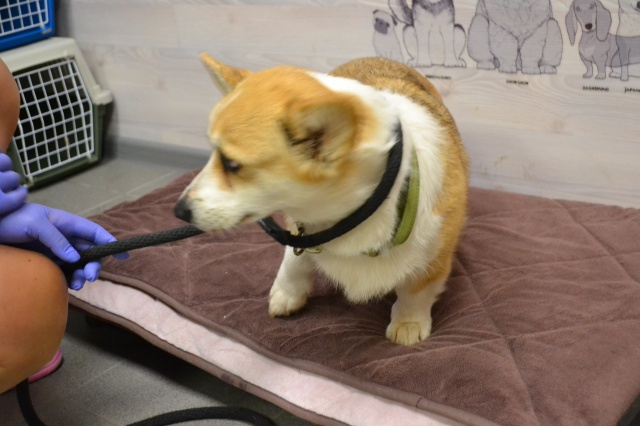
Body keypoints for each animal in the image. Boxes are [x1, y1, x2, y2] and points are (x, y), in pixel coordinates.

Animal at [174, 55, 469, 346]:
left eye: (232, 164)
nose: (179, 211)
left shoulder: (435, 254)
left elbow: (416, 292)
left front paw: (408, 323)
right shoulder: (299, 229)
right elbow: (294, 262)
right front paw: (286, 294)